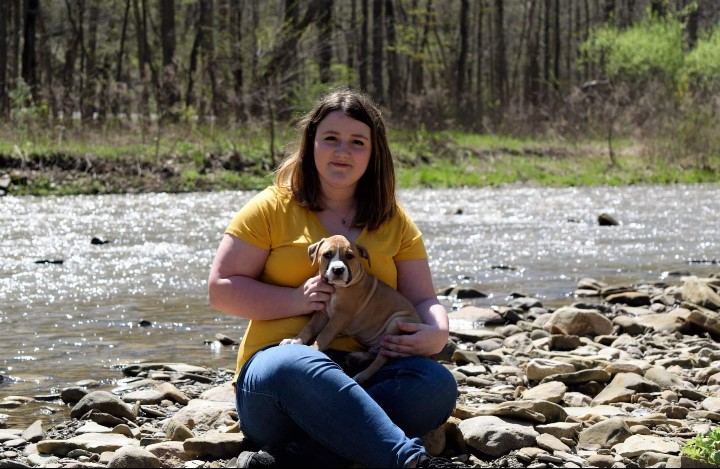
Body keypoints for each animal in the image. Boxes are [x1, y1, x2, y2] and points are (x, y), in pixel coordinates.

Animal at [279, 235, 422, 385]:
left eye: (349, 256)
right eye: (327, 255)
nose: (338, 269)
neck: (337, 288)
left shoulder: (340, 316)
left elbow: (324, 334)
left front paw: (314, 349)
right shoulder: (322, 312)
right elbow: (309, 327)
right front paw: (295, 340)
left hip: (397, 323)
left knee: (381, 358)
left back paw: (362, 375)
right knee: (375, 353)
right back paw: (358, 357)